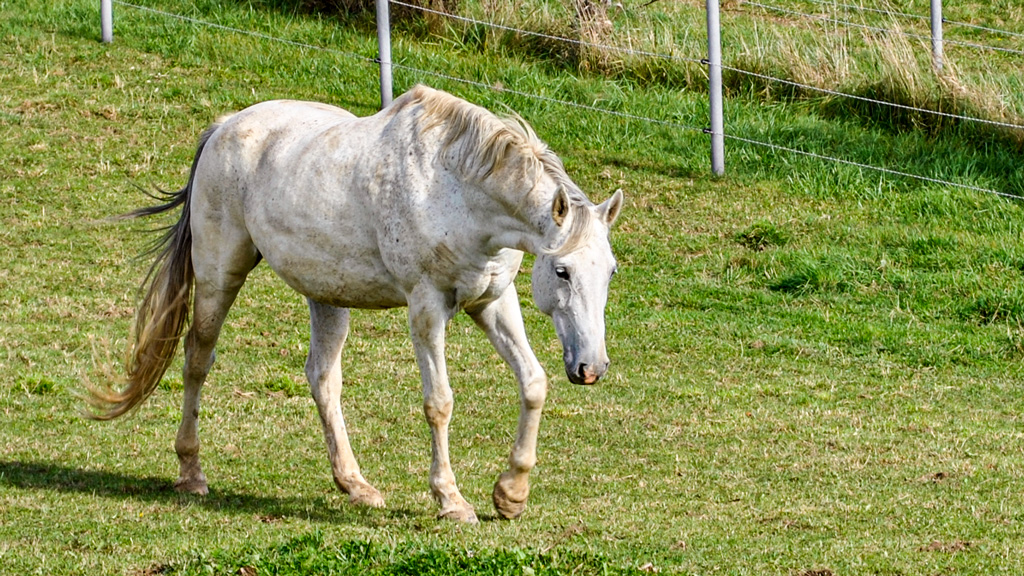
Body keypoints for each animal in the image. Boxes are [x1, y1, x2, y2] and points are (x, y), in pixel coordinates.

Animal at [92, 84, 622, 520]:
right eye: (562, 270)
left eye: (611, 271)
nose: (592, 367)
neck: (457, 190)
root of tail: (224, 126)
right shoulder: (426, 308)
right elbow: (439, 403)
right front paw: (451, 501)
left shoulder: (492, 300)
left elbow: (533, 384)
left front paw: (511, 494)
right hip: (220, 275)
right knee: (198, 359)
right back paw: (191, 472)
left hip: (327, 294)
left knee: (322, 379)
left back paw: (355, 485)